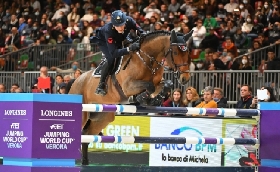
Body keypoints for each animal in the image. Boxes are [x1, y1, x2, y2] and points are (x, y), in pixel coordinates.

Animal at [69, 29, 194, 165]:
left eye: (188, 52)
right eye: (175, 52)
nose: (185, 78)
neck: (147, 60)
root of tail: (77, 80)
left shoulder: (158, 83)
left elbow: (166, 84)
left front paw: (153, 100)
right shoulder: (128, 86)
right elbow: (149, 86)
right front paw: (141, 98)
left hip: (103, 117)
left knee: (86, 135)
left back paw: (85, 163)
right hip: (83, 112)